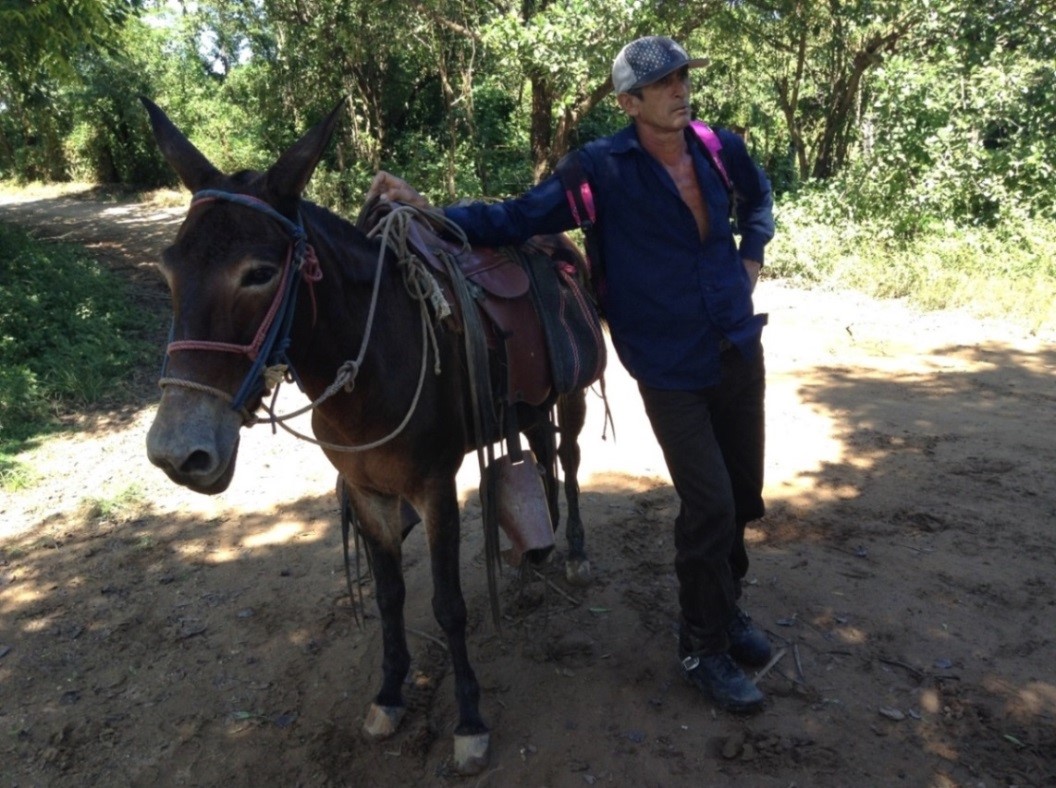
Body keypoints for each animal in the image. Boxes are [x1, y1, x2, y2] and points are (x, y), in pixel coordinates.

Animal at [140, 97, 602, 775]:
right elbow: (389, 597)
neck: (375, 361)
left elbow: (448, 604)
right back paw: (529, 560)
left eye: (259, 273)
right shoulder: (367, 493)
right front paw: (389, 695)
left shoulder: (435, 488)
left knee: (566, 460)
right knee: (539, 458)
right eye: (169, 271)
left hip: (569, 396)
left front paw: (469, 722)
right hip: (527, 406)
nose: (178, 453)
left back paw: (572, 551)